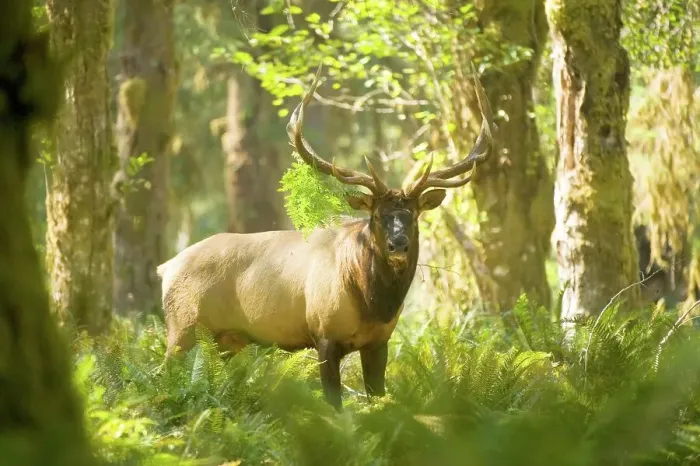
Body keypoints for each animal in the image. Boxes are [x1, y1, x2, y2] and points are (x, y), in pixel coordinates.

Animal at [156, 64, 495, 410]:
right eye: (376, 215)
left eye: (413, 216)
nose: (398, 244)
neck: (372, 303)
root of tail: (166, 267)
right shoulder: (324, 334)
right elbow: (335, 405)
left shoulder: (379, 341)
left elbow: (378, 399)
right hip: (182, 328)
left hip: (225, 340)